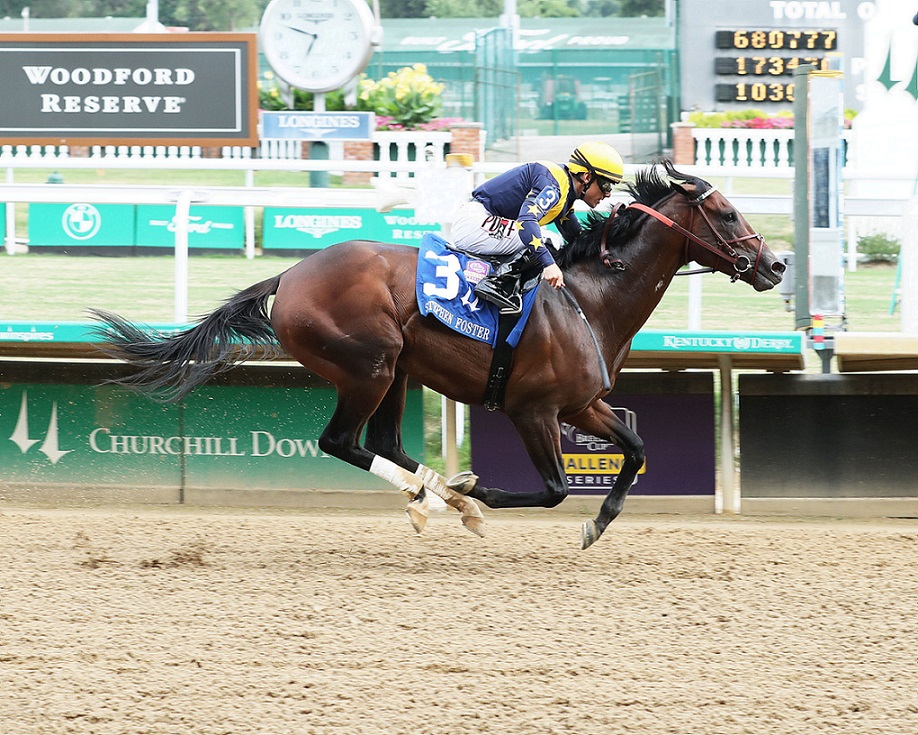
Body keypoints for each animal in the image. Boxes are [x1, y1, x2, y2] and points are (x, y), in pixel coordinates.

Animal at [91, 160, 785, 549]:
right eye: (727, 213)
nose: (776, 265)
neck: (590, 298)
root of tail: (288, 276)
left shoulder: (582, 404)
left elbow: (637, 448)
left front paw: (597, 522)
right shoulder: (533, 409)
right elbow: (555, 489)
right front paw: (480, 490)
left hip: (396, 371)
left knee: (385, 443)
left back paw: (438, 497)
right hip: (369, 364)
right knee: (342, 442)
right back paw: (445, 498)